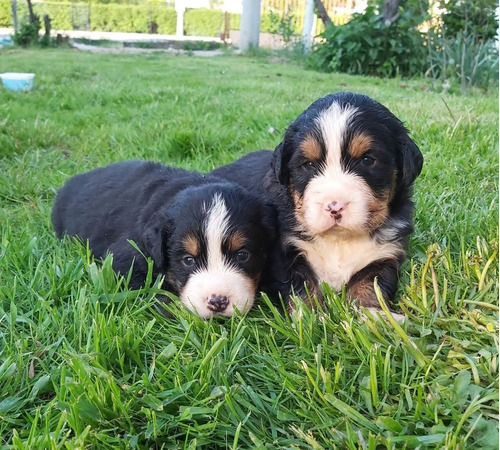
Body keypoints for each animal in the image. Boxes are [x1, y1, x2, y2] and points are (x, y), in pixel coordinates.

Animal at [211, 89, 422, 312]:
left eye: (367, 160)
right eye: (308, 164)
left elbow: (370, 287)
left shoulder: (385, 255)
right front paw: (311, 315)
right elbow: (302, 289)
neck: (339, 241)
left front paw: (373, 314)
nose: (334, 206)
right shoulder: (286, 253)